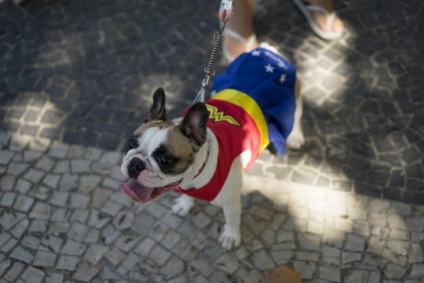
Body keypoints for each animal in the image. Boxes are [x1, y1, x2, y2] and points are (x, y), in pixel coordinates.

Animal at [120, 45, 304, 252]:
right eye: (130, 144)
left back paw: (296, 137)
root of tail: (267, 51)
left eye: (164, 159)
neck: (195, 174)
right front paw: (185, 205)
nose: (135, 163)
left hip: (294, 100)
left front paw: (231, 236)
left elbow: (232, 219)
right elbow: (187, 197)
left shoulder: (231, 202)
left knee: (296, 118)